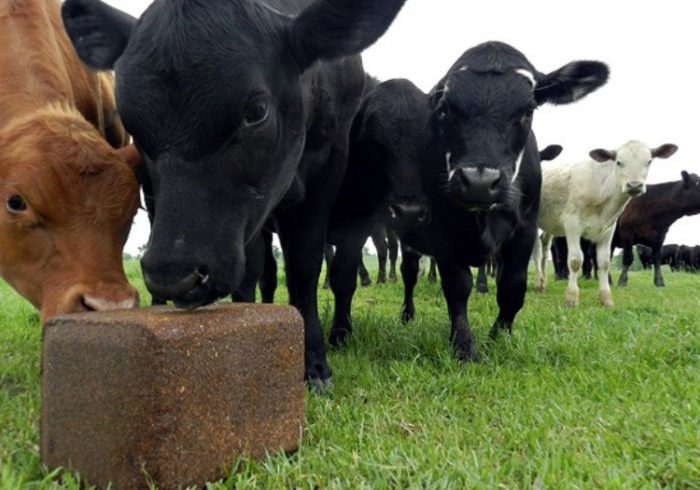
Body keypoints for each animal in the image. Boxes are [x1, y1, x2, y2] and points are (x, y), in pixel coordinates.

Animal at [62, 0, 408, 389]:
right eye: (133, 124)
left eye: (256, 111)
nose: (173, 275)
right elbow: (253, 268)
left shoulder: (330, 166)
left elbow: (306, 265)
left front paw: (315, 362)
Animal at [395, 41, 607, 360]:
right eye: (446, 109)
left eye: (528, 111)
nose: (480, 182)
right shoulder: (444, 229)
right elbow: (457, 285)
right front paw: (463, 345)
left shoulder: (526, 227)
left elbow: (512, 287)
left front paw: (498, 338)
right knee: (409, 273)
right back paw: (407, 316)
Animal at [533, 140, 678, 307]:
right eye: (618, 162)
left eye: (649, 161)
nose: (634, 185)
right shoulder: (572, 223)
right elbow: (575, 260)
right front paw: (571, 298)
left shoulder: (608, 229)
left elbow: (604, 262)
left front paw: (606, 299)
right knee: (537, 250)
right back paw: (538, 283)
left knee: (544, 248)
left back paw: (543, 282)